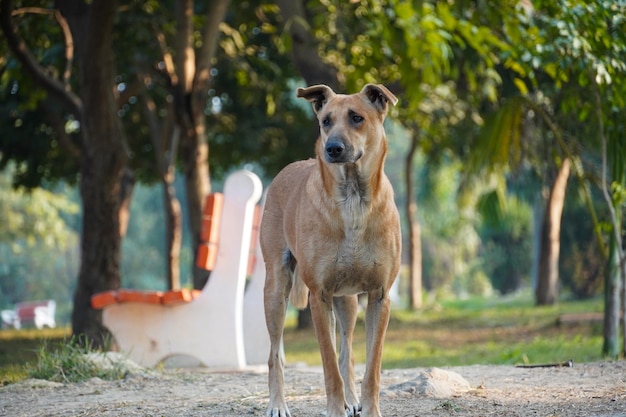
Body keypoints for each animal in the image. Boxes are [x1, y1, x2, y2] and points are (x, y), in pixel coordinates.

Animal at [260, 83, 400, 416]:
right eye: (325, 121)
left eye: (357, 117)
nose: (333, 148)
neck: (353, 199)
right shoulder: (319, 297)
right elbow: (328, 366)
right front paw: (335, 408)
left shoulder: (379, 297)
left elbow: (371, 367)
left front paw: (368, 408)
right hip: (276, 289)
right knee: (275, 354)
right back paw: (277, 403)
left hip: (347, 301)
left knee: (347, 352)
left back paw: (352, 399)